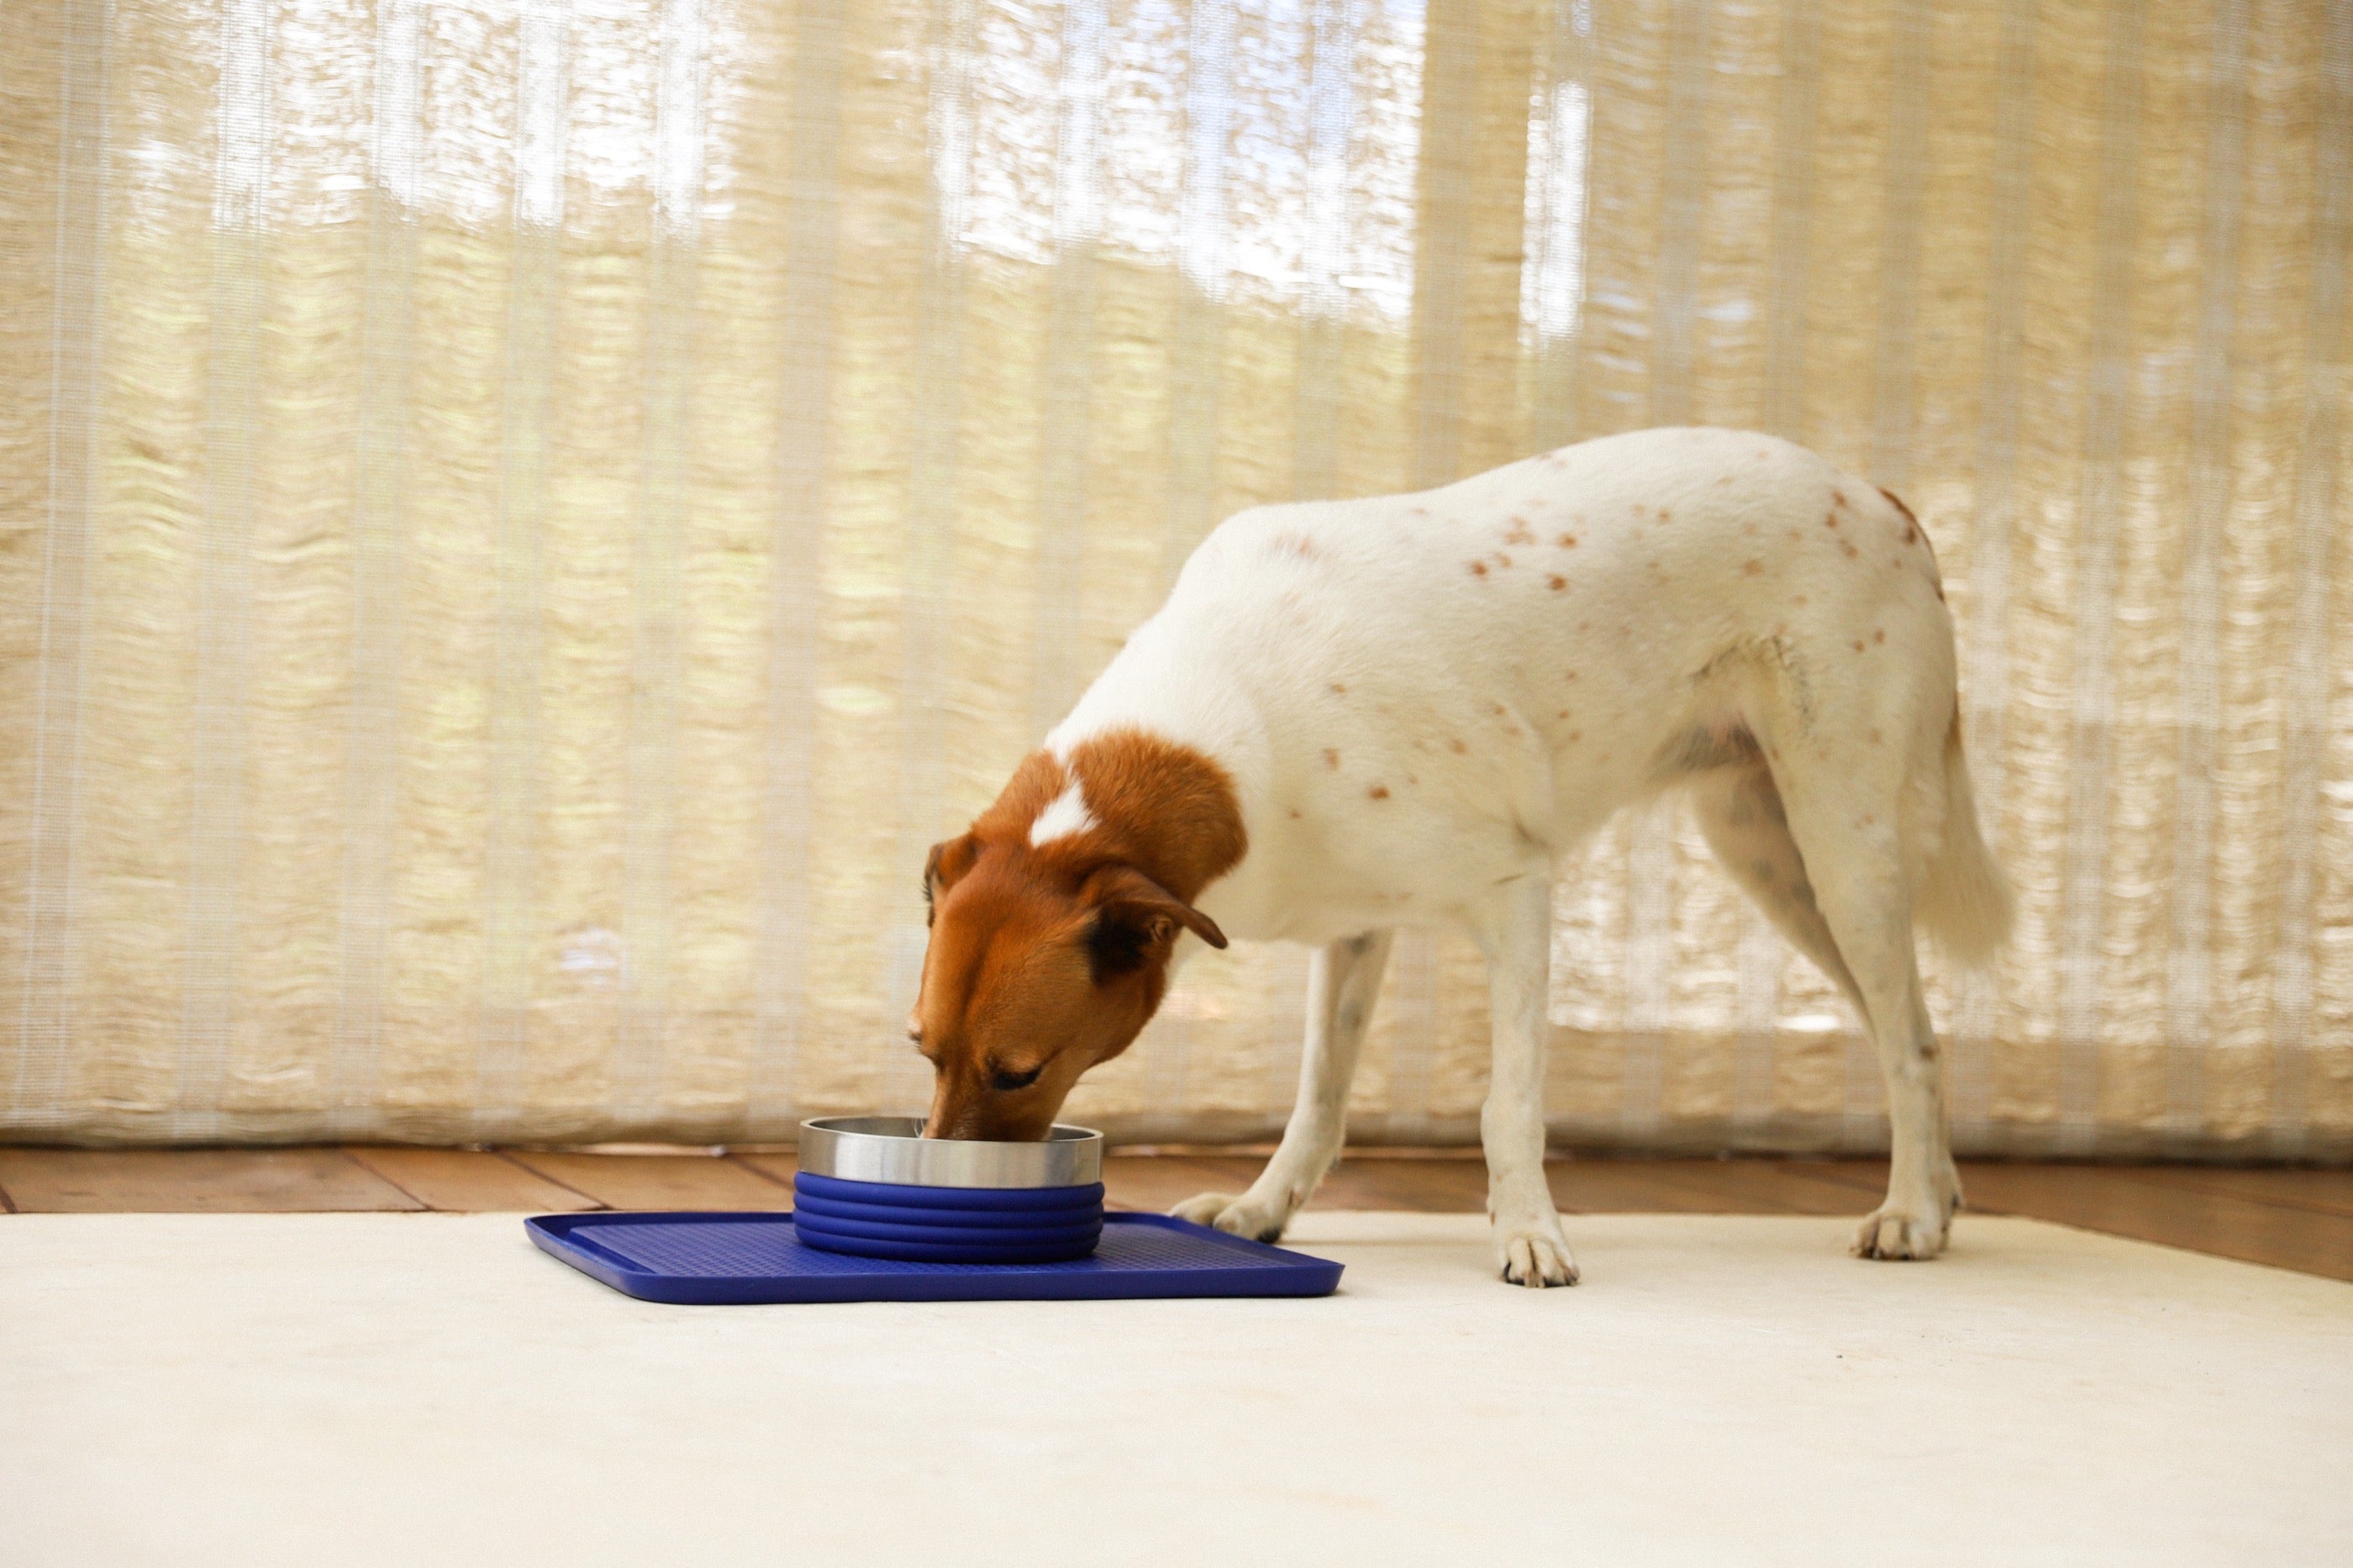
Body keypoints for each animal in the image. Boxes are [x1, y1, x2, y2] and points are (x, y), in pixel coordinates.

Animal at [908, 421, 2013, 1281]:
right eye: (921, 1050)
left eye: (1018, 1074)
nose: (946, 1190)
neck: (1235, 719)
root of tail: (1882, 497)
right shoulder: (1354, 933)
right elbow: (1319, 1098)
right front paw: (1265, 1212)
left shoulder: (1515, 895)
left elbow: (1506, 1106)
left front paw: (1527, 1233)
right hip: (1770, 861)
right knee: (1904, 1025)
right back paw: (1941, 1195)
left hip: (1844, 848)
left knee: (1910, 1039)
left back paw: (1910, 1214)